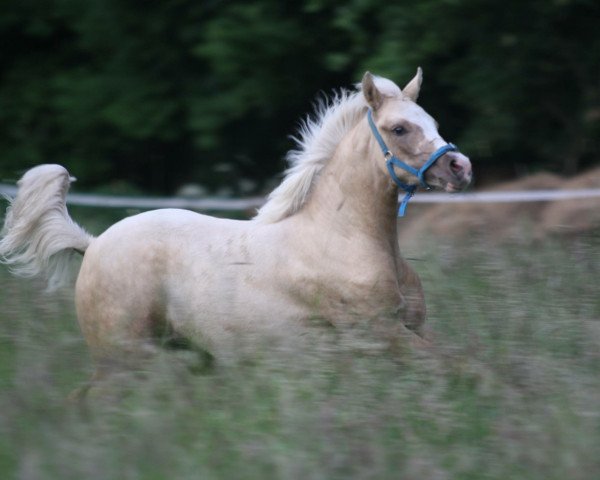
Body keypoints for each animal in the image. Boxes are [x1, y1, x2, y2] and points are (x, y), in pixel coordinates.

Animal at [0, 71, 468, 382]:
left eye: (433, 122)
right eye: (399, 128)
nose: (460, 167)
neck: (343, 236)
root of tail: (94, 244)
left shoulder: (411, 328)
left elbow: (460, 360)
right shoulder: (382, 332)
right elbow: (450, 368)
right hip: (122, 359)